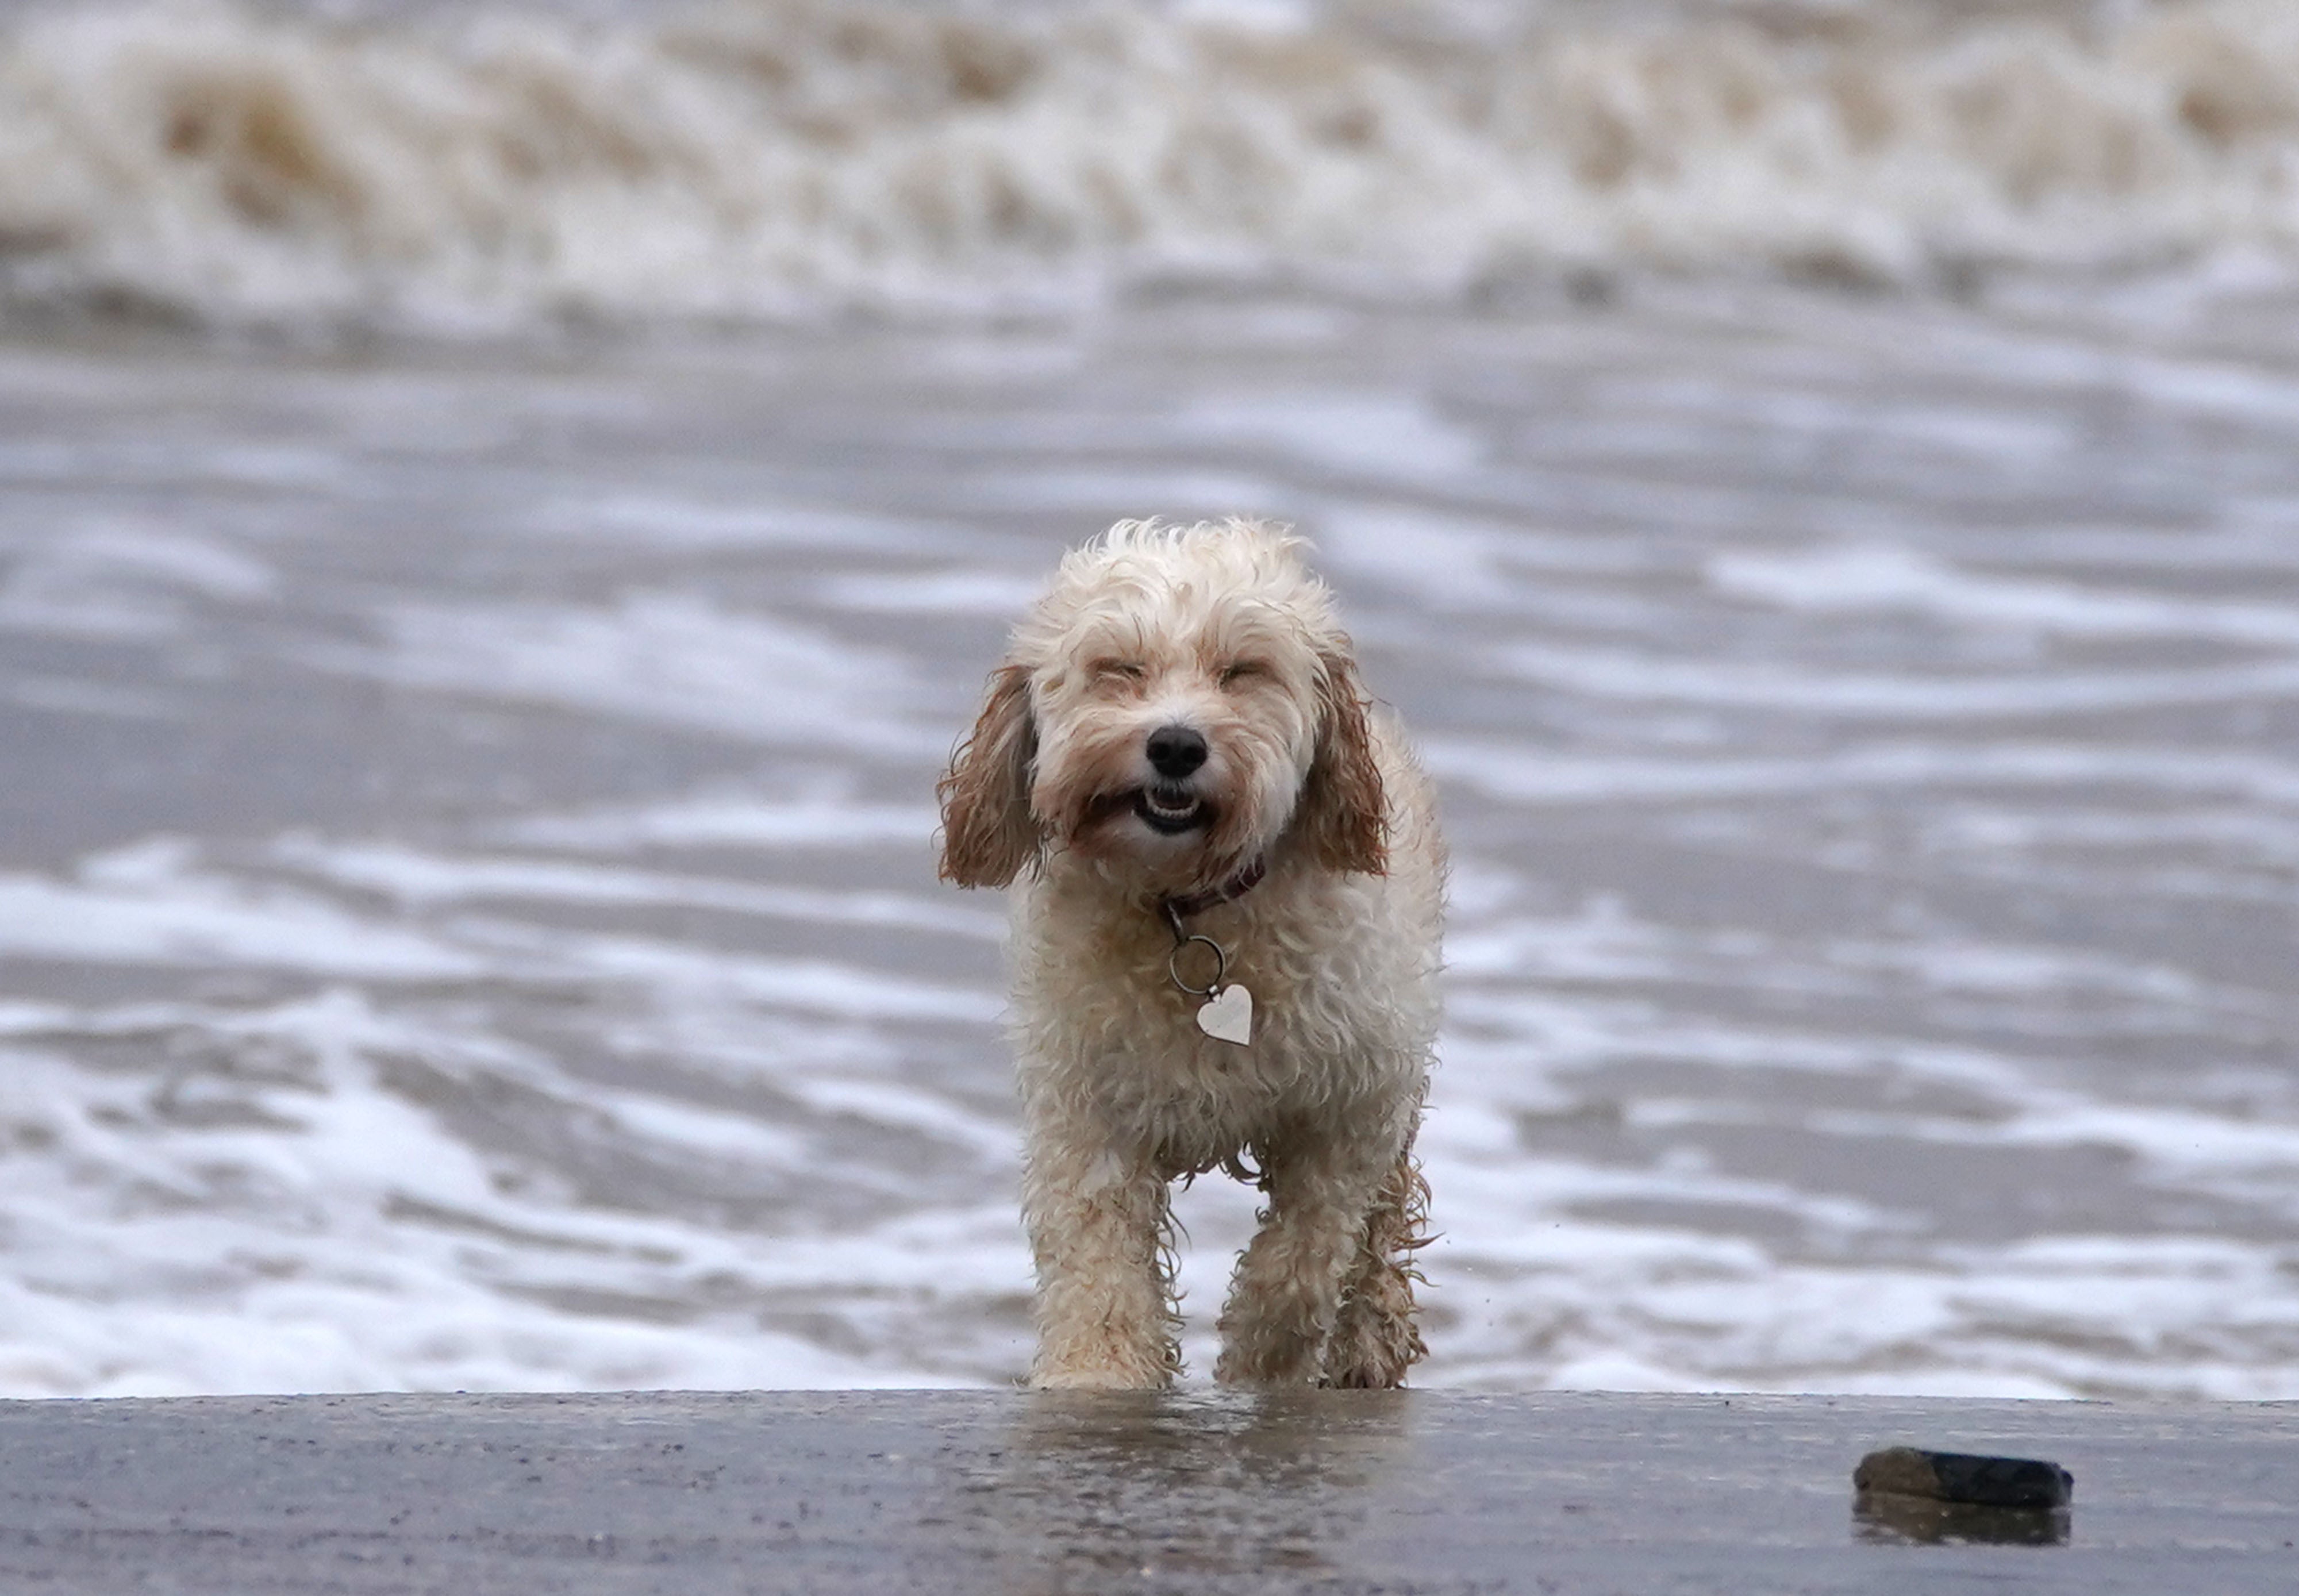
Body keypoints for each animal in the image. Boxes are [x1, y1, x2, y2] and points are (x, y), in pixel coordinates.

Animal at [933, 522, 1435, 1389]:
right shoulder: (1087, 1113)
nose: (1174, 744)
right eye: (1119, 669)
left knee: (1378, 1230)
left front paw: (1264, 1356)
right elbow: (1096, 1259)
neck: (1188, 910)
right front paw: (1096, 1373)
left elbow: (1302, 1256)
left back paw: (1369, 1341)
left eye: (1242, 671)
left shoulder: (1351, 1107)